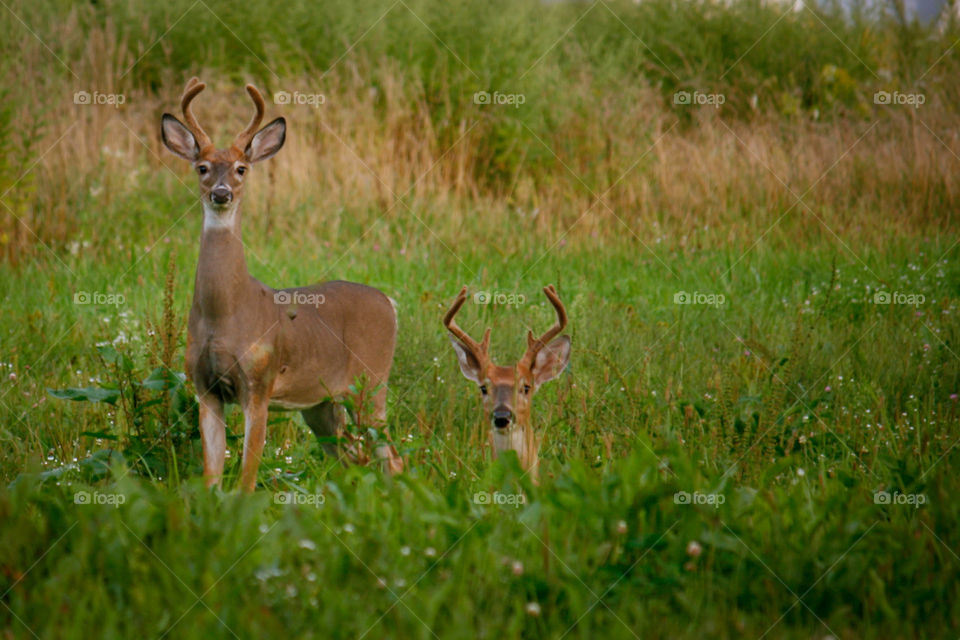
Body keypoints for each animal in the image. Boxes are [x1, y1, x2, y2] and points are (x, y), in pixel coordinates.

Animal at [161, 77, 402, 492]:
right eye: (202, 167)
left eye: (241, 168)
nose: (221, 193)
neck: (225, 315)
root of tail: (389, 302)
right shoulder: (204, 388)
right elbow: (211, 477)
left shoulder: (260, 383)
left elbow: (246, 478)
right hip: (322, 405)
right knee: (354, 460)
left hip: (371, 384)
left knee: (392, 458)